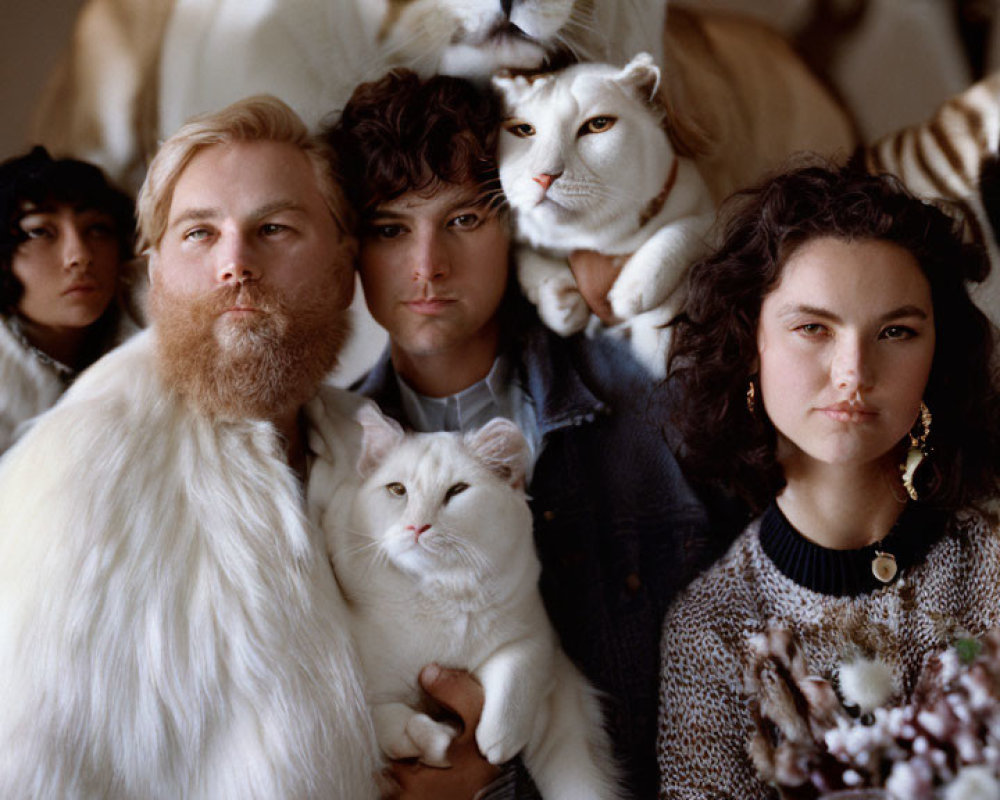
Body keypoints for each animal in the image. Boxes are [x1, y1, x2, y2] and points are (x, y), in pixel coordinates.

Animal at [324, 406, 620, 800]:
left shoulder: (538, 640)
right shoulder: (362, 696)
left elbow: (515, 672)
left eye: (457, 491)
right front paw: (428, 740)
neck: (439, 594)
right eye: (397, 490)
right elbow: (381, 719)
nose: (417, 527)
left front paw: (498, 738)